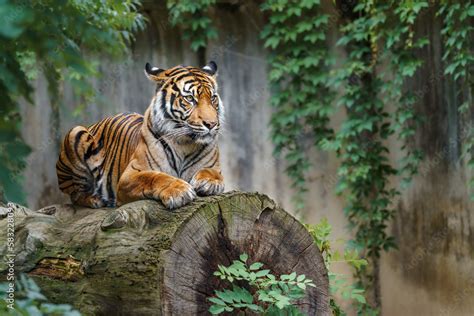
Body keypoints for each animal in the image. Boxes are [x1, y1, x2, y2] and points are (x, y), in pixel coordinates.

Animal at [56, 61, 224, 210]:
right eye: (189, 99)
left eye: (213, 98)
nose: (211, 124)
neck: (185, 144)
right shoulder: (129, 175)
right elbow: (154, 177)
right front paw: (179, 191)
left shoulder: (213, 166)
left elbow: (212, 172)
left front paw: (210, 183)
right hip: (76, 133)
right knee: (75, 194)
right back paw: (95, 199)